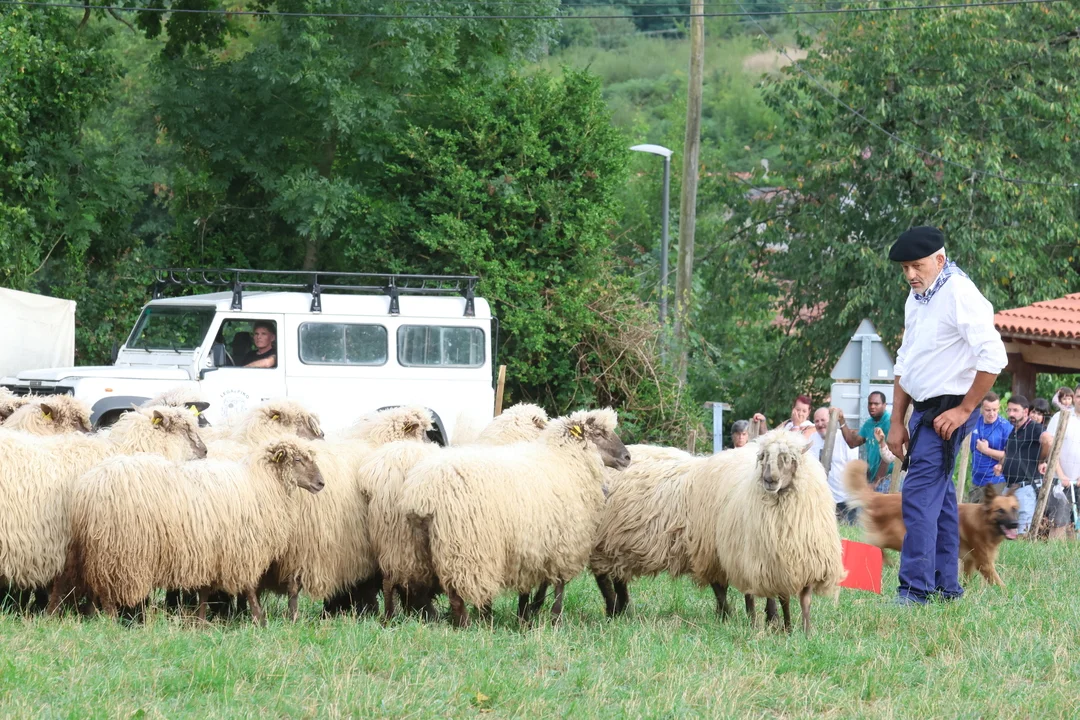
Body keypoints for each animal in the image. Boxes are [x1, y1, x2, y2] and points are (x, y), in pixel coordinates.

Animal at [62, 438, 324, 625]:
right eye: (298, 459)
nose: (321, 483)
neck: (261, 484)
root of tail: (87, 486)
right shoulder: (241, 549)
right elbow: (249, 588)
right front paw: (260, 620)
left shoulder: (210, 551)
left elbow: (205, 590)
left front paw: (200, 621)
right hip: (120, 549)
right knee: (107, 590)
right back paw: (112, 621)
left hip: (98, 547)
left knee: (95, 587)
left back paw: (94, 616)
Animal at [400, 408, 630, 628]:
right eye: (599, 433)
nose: (627, 457)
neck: (565, 460)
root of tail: (424, 492)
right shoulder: (565, 542)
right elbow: (559, 585)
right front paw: (555, 619)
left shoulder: (531, 544)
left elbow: (529, 586)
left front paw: (525, 616)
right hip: (466, 546)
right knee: (457, 593)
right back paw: (468, 624)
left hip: (420, 549)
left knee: (424, 589)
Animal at [709, 428, 846, 634]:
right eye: (764, 456)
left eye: (789, 459)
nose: (770, 480)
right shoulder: (780, 565)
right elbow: (785, 599)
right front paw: (788, 629)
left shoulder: (807, 563)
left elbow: (805, 600)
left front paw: (807, 631)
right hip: (747, 560)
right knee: (743, 592)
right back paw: (751, 621)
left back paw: (768, 618)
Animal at [843, 460, 1020, 587]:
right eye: (1000, 510)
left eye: (1014, 509)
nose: (1015, 524)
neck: (983, 520)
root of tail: (879, 498)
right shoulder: (984, 563)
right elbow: (998, 583)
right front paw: (1007, 595)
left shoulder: (970, 561)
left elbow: (967, 579)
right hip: (902, 537)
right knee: (875, 543)